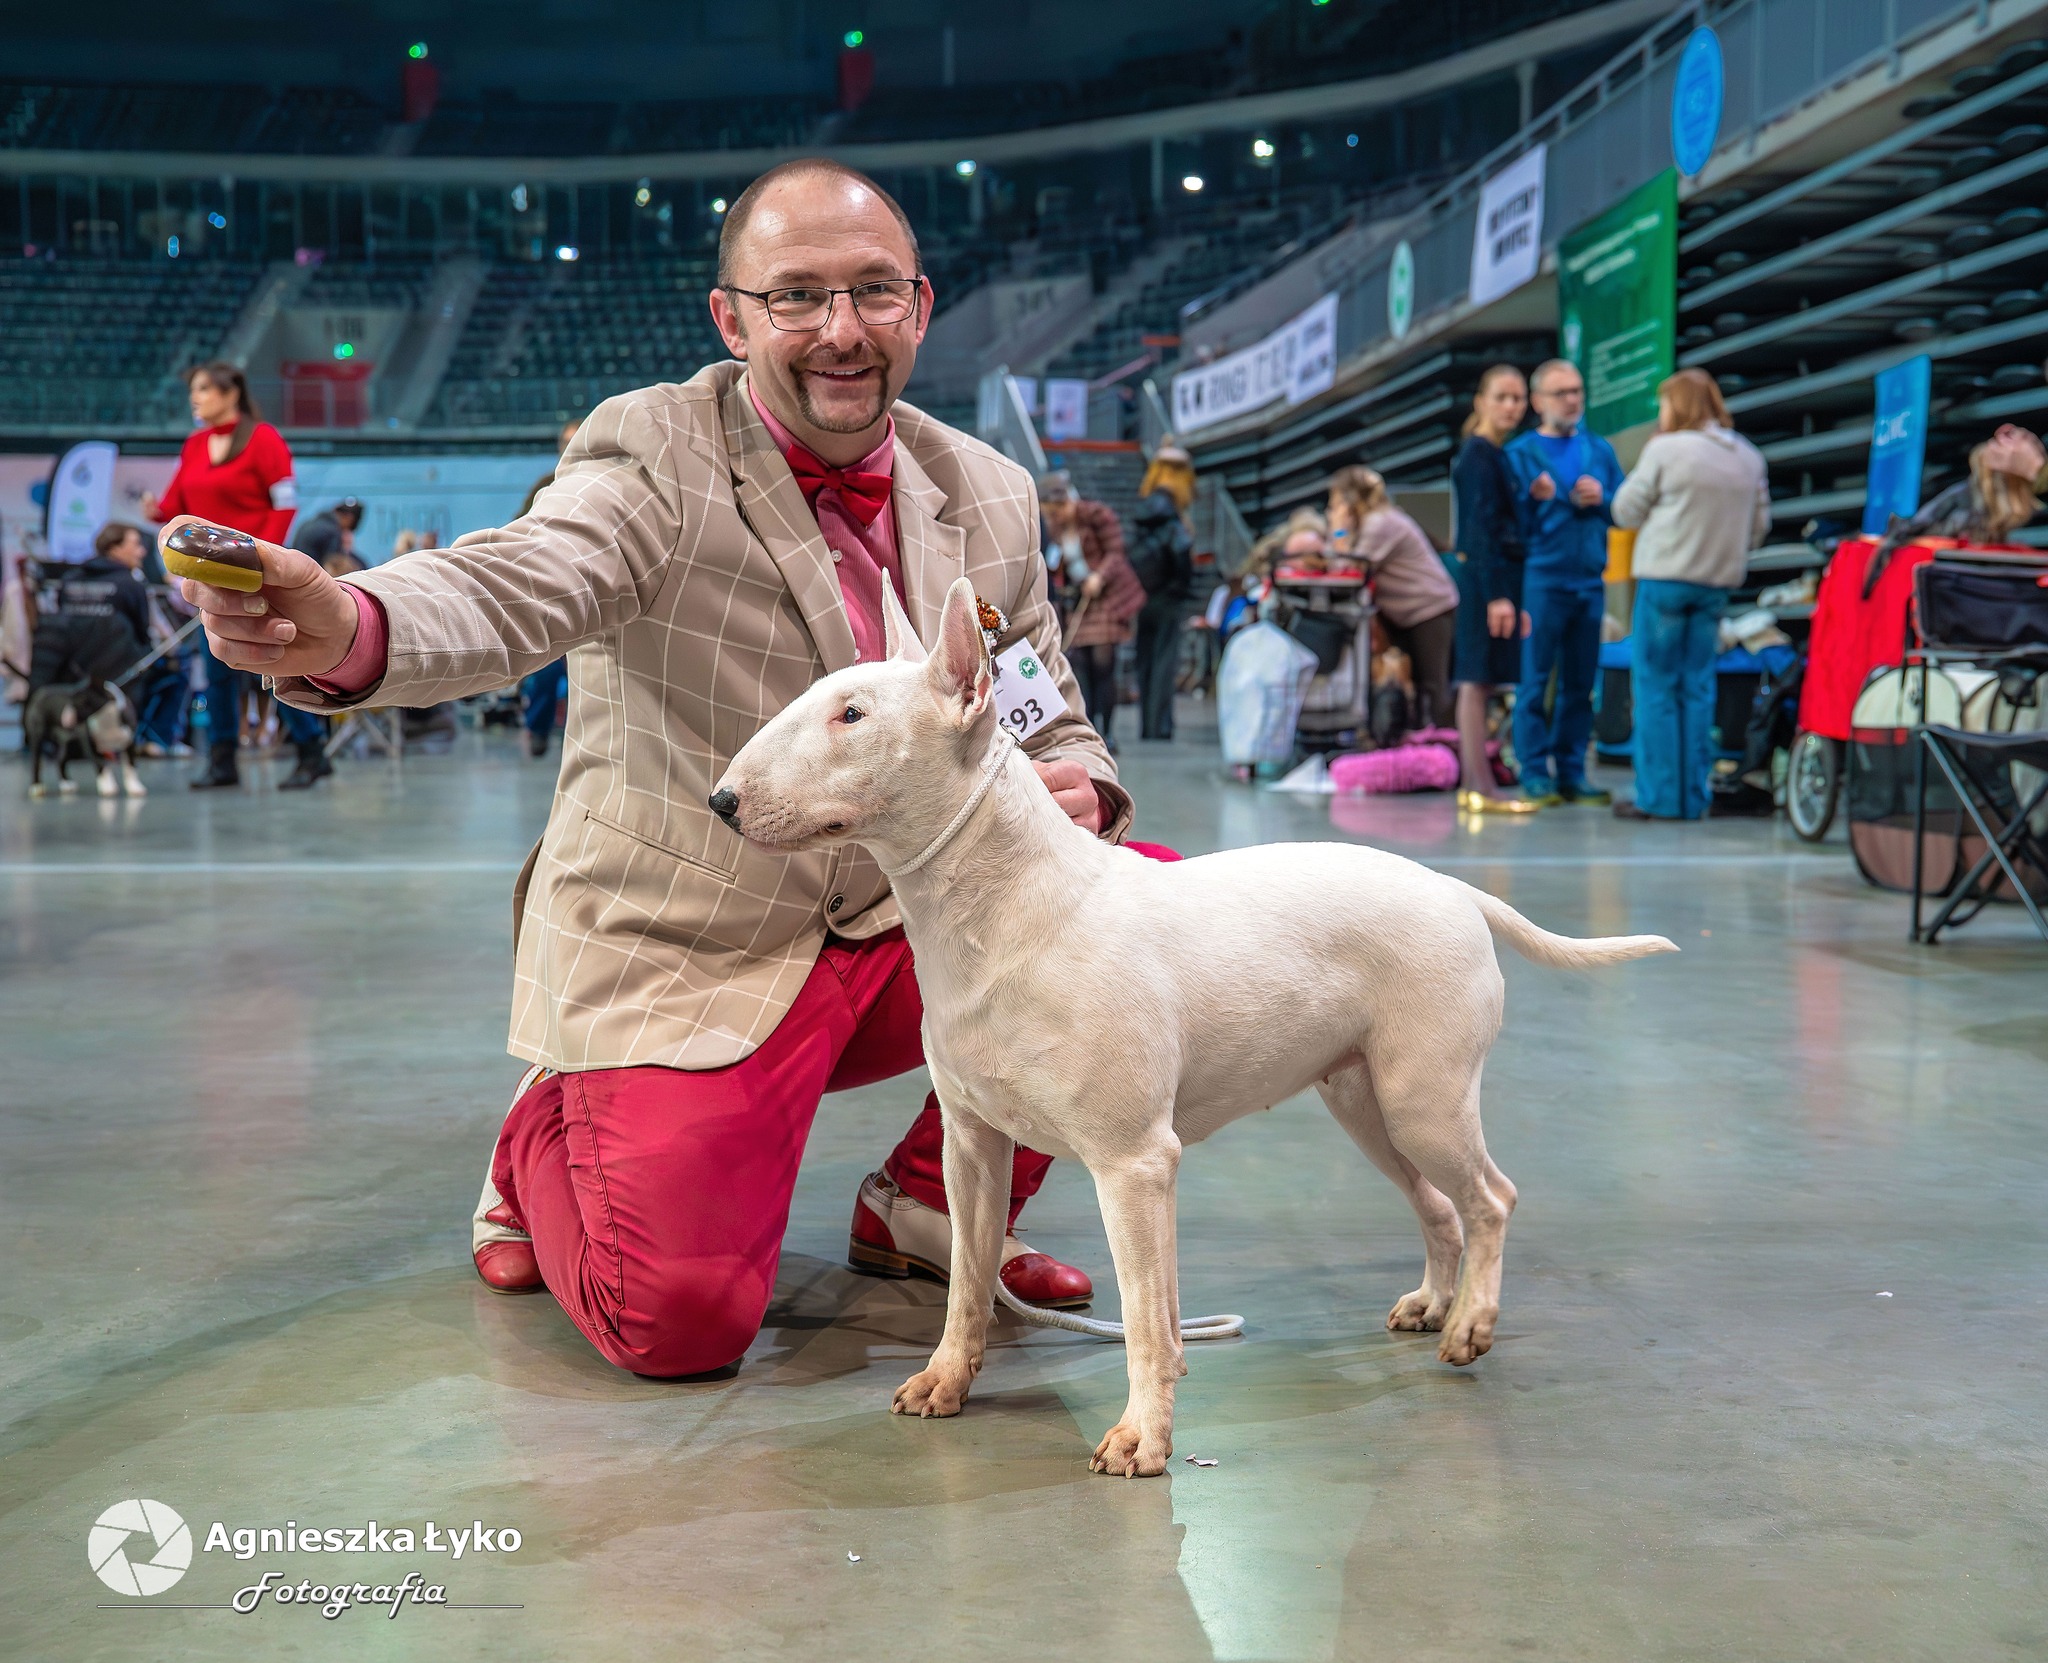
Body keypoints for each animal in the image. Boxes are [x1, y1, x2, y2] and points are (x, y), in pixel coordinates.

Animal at [713, 578, 1675, 1478]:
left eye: (852, 715)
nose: (722, 800)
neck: (1008, 906)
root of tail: (1454, 889)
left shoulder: (1134, 1162)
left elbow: (1143, 1310)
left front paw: (1142, 1436)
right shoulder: (974, 1144)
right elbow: (969, 1281)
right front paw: (945, 1381)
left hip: (1424, 1096)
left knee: (1491, 1198)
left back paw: (1471, 1322)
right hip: (1365, 1101)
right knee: (1441, 1205)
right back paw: (1431, 1302)